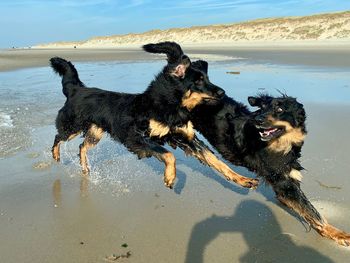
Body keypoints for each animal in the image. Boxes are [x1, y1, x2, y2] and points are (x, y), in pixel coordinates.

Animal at [49, 43, 258, 192]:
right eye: (198, 81)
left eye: (207, 78)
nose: (223, 92)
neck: (170, 106)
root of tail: (76, 89)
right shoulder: (138, 137)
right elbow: (169, 155)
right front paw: (170, 176)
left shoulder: (187, 138)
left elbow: (217, 162)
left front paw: (242, 179)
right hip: (72, 126)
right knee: (58, 137)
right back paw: (56, 155)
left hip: (95, 132)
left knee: (82, 146)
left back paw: (85, 168)